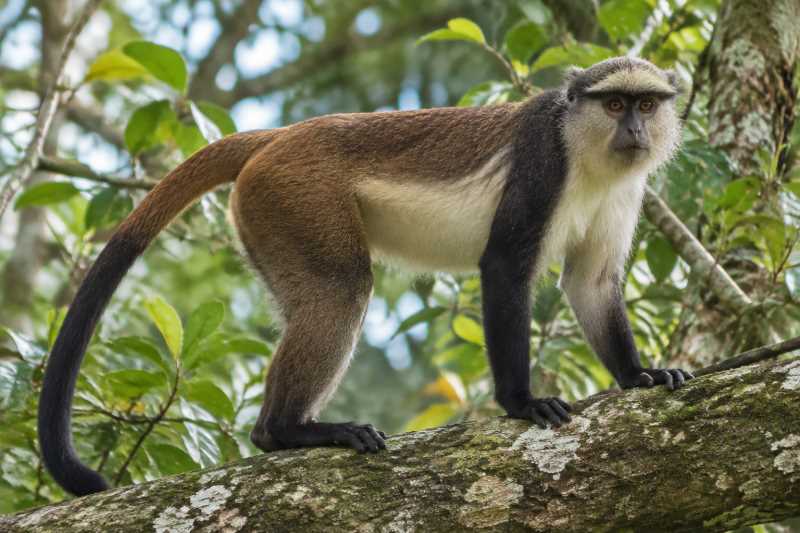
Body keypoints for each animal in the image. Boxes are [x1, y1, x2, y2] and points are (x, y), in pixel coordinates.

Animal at [38, 56, 694, 496]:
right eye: (614, 104)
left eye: (646, 104)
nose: (634, 132)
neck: (588, 155)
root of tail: (281, 135)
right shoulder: (541, 161)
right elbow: (506, 265)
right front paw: (522, 402)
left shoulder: (626, 192)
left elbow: (592, 282)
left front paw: (639, 375)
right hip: (297, 199)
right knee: (340, 291)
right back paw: (287, 432)